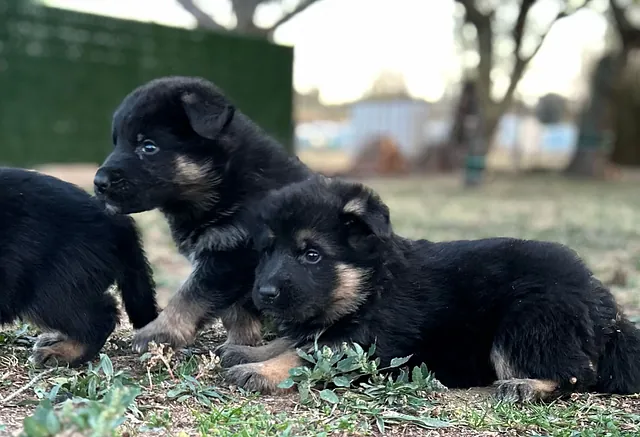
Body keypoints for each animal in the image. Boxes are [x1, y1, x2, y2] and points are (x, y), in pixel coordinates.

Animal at [94, 76, 314, 352]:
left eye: (148, 146)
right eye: (118, 142)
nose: (98, 183)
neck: (225, 184)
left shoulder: (230, 254)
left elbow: (190, 294)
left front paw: (158, 332)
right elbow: (234, 310)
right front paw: (240, 340)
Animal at [220, 175, 640, 400]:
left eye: (311, 255)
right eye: (267, 251)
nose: (264, 295)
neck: (371, 287)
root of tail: (605, 307)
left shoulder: (367, 344)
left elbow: (308, 354)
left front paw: (261, 370)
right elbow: (296, 340)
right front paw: (250, 352)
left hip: (527, 319)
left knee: (578, 373)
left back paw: (527, 385)